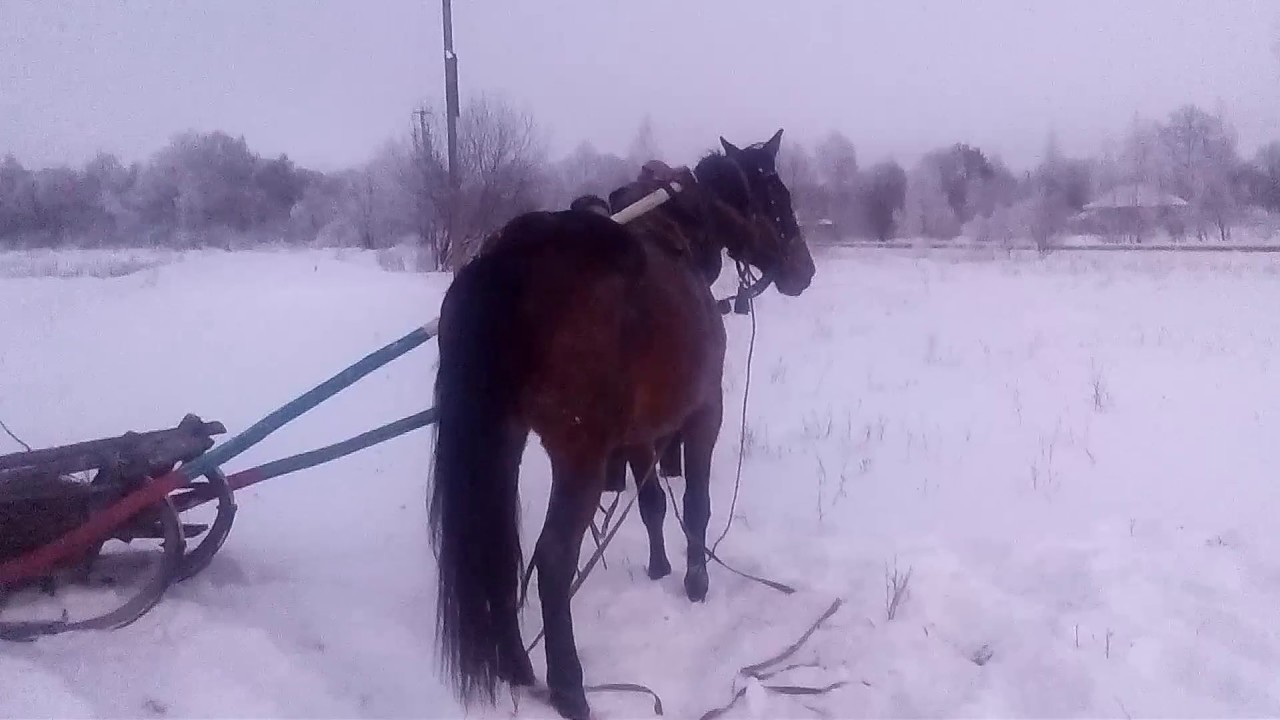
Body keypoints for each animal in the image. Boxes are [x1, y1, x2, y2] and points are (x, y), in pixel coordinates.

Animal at [427, 130, 808, 717]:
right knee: (553, 559)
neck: (679, 229)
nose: (804, 270)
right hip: (579, 456)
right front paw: (696, 581)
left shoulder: (639, 434)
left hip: (505, 440)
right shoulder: (705, 412)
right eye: (776, 197)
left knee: (503, 549)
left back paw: (516, 665)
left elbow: (651, 503)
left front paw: (658, 566)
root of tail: (513, 258)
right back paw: (568, 687)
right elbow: (695, 504)